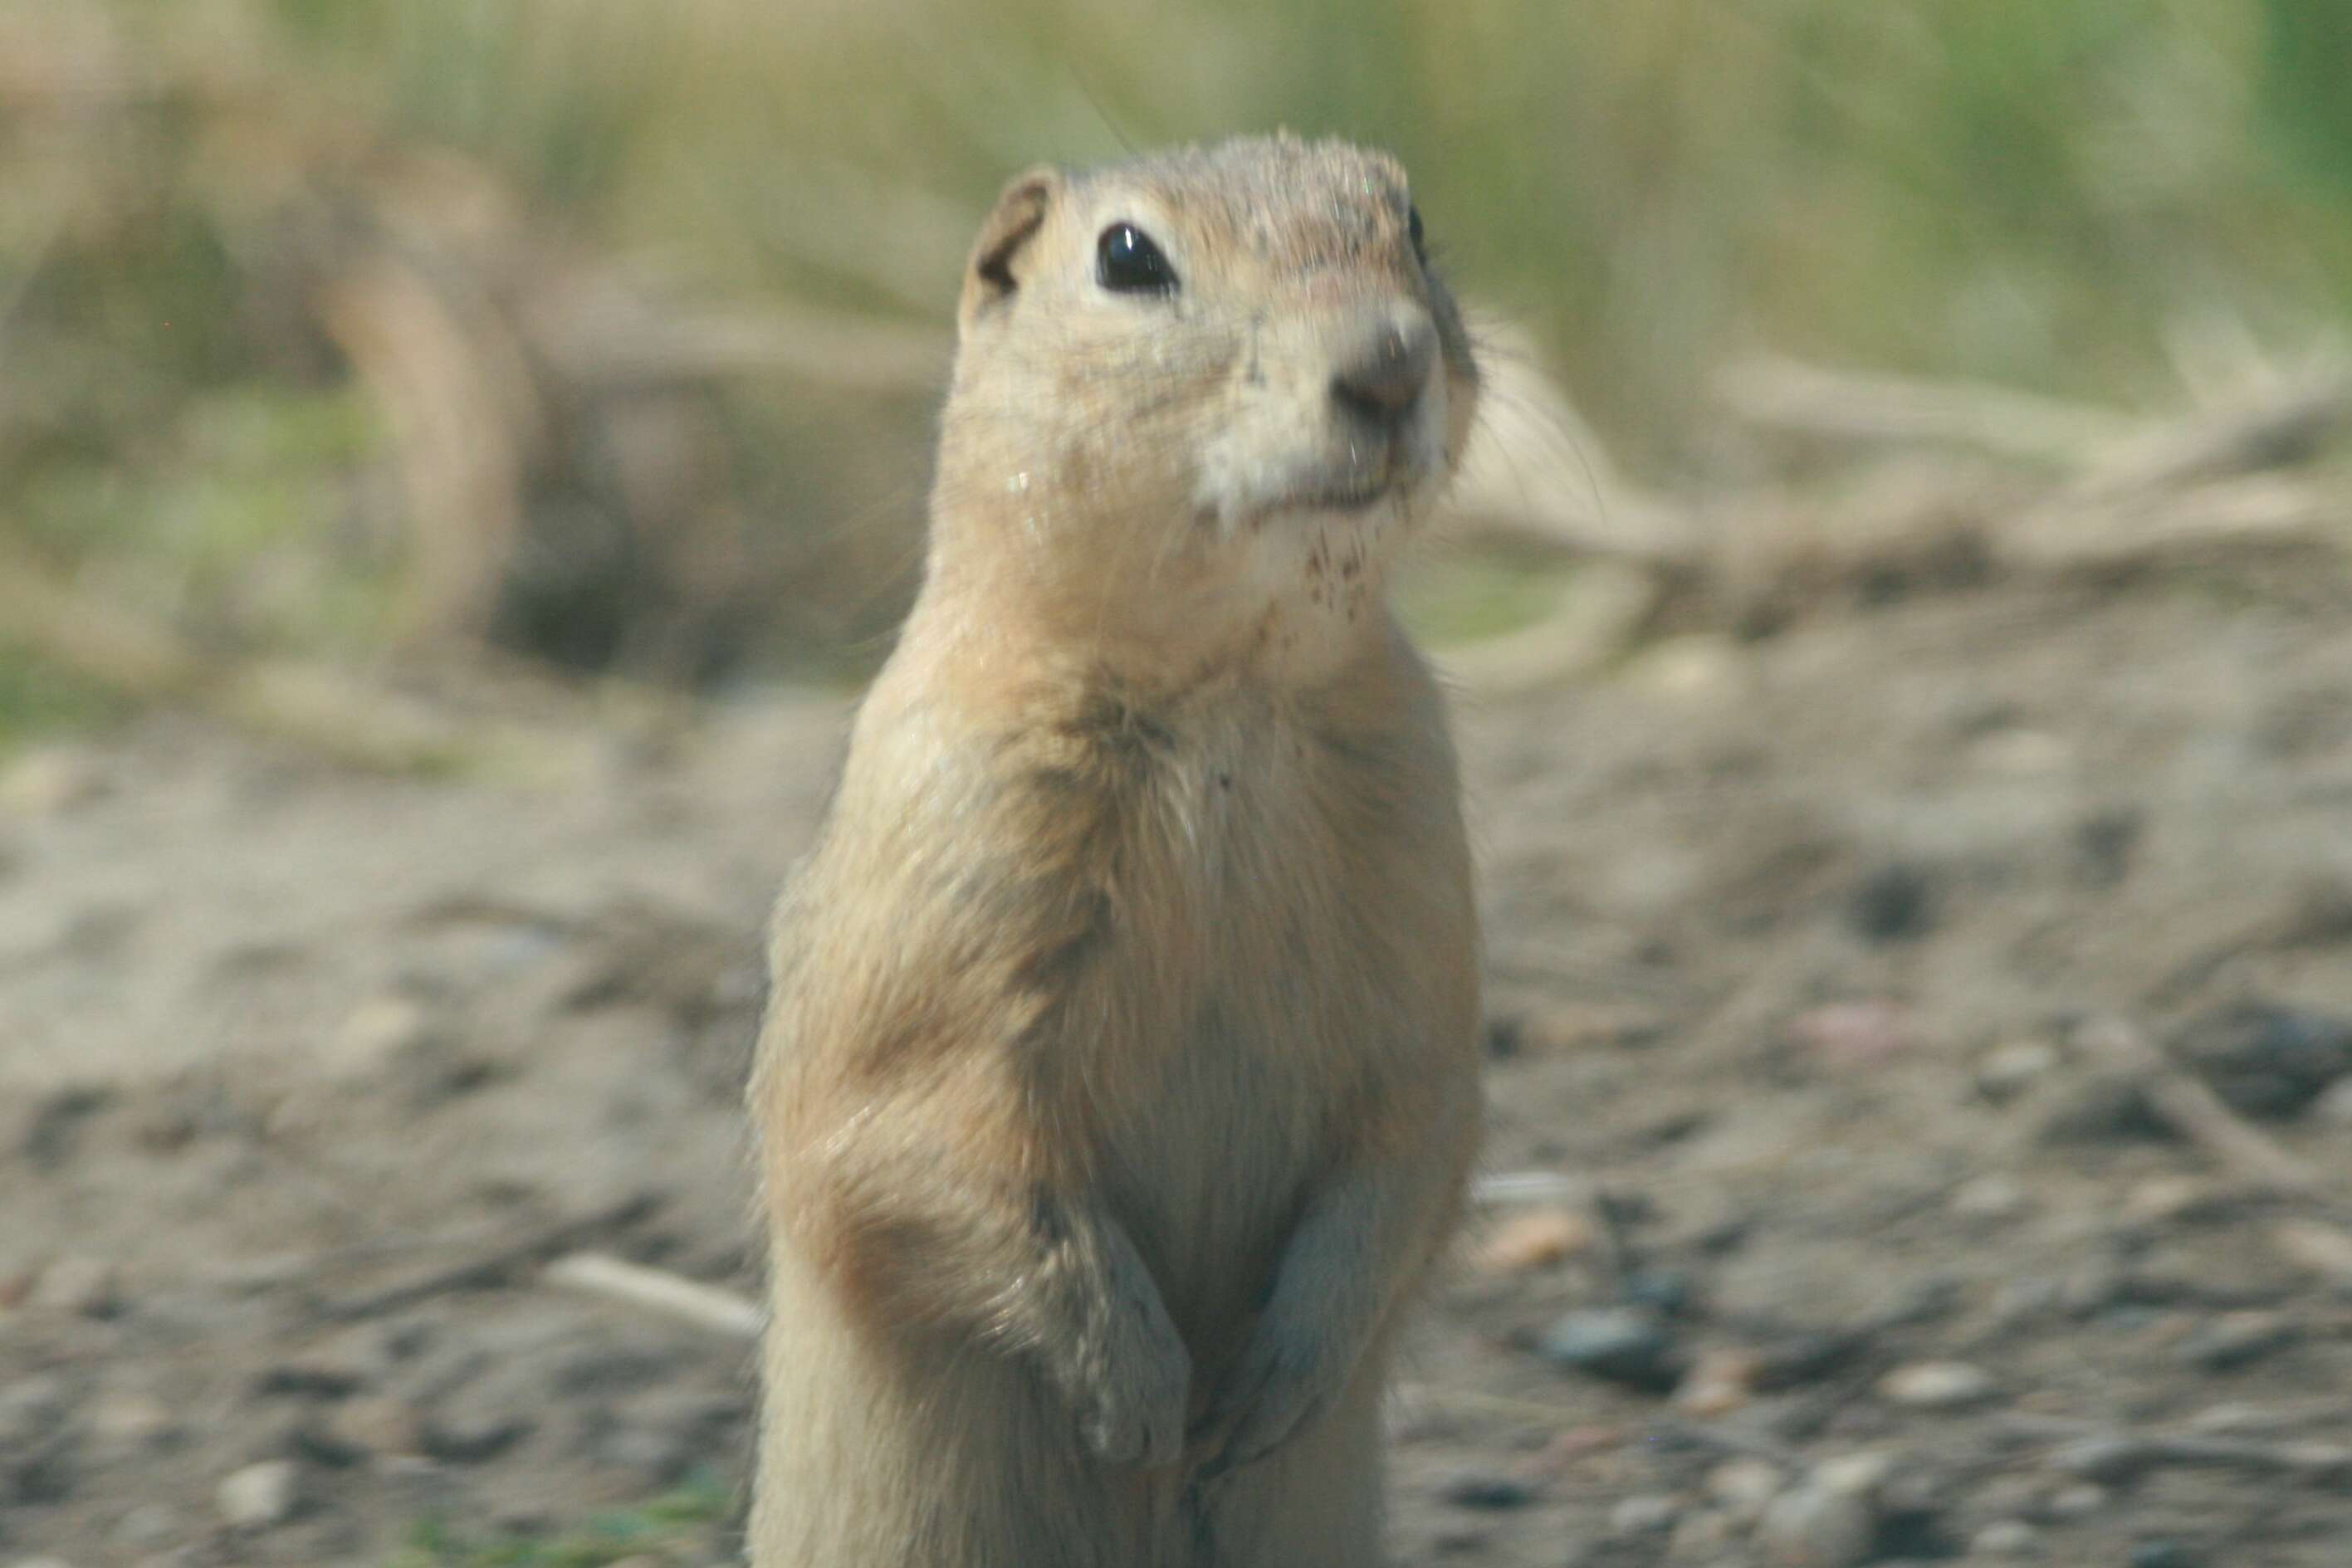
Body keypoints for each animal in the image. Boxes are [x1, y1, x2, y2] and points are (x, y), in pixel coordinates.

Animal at [752, 134, 1477, 1568]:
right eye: (1128, 257)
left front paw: (1273, 1382)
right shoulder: (948, 867)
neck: (1224, 698)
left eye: (1413, 223)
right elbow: (915, 1139)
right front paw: (1139, 1396)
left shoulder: (1426, 864)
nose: (1388, 362)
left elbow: (1416, 1128)